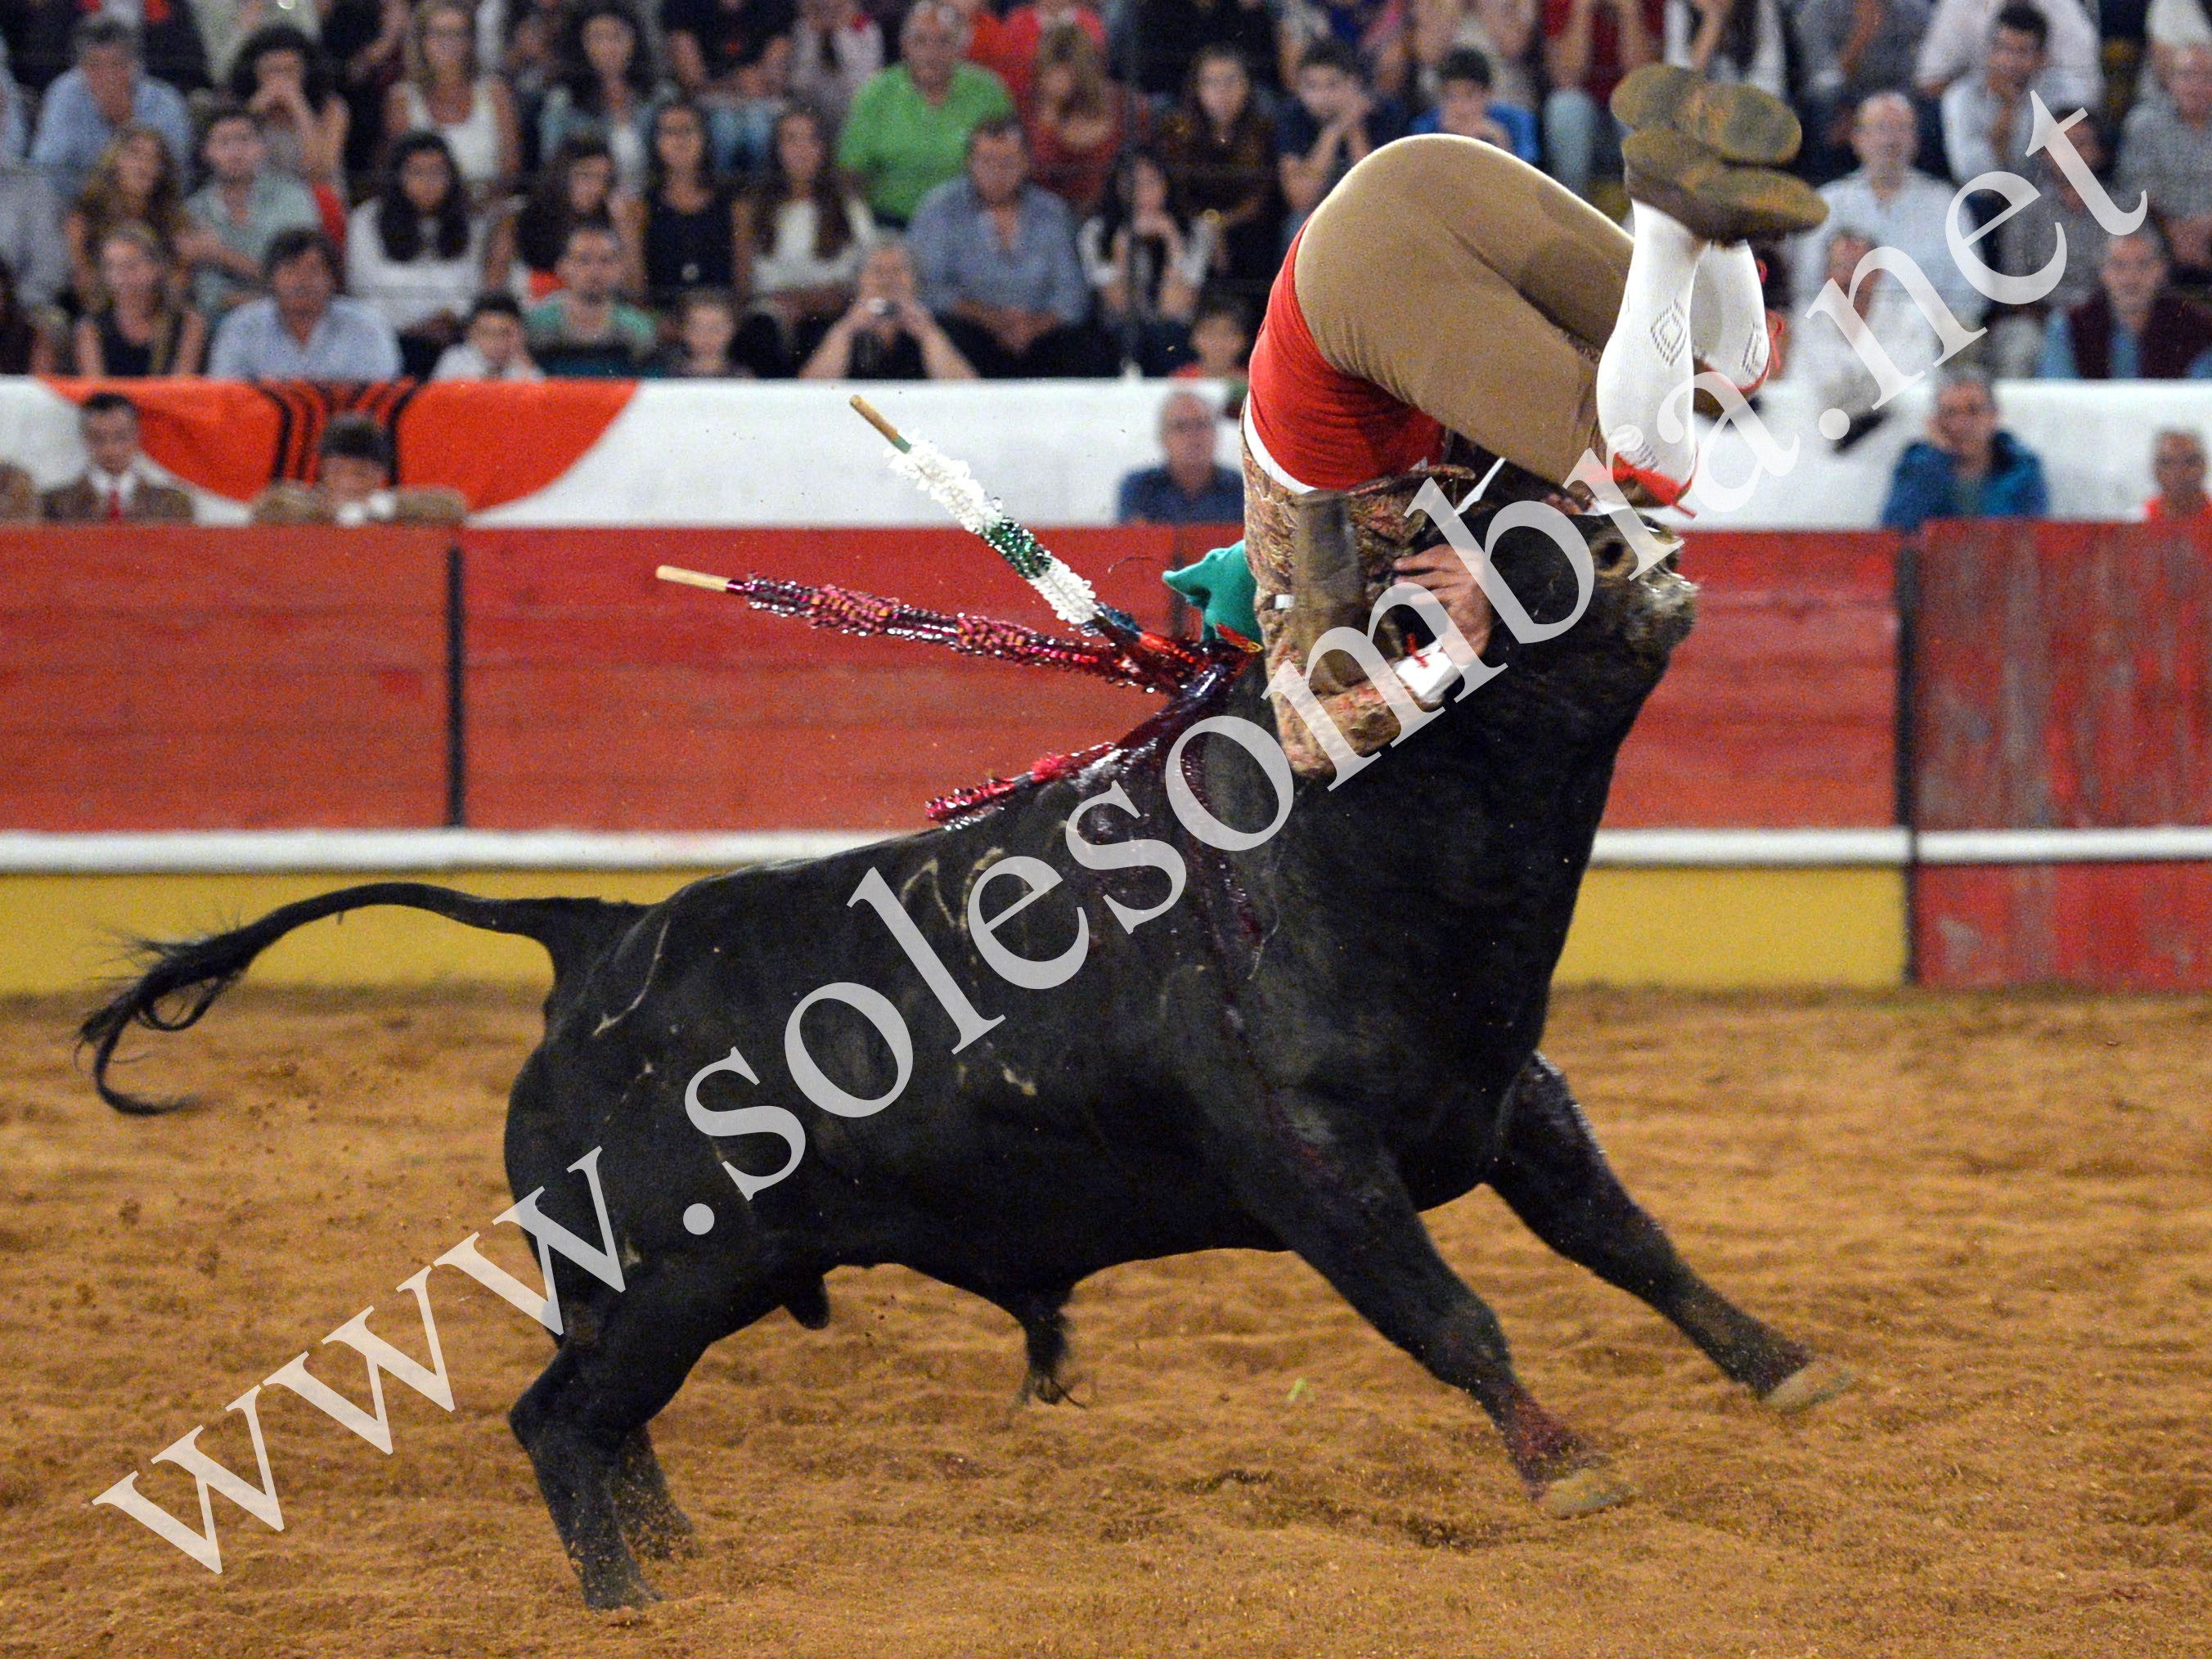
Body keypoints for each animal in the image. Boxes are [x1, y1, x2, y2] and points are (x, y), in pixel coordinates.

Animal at [86, 500, 1850, 1608]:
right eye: (1445, 590)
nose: (1620, 537)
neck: (1353, 843)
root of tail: (594, 933)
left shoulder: (1506, 1104)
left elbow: (1629, 1240)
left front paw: (1784, 1365)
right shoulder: (1315, 1174)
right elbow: (1455, 1317)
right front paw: (1568, 1467)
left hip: (654, 1281)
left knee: (601, 1418)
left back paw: (683, 1558)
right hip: (672, 1275)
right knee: (559, 1421)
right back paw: (627, 1599)